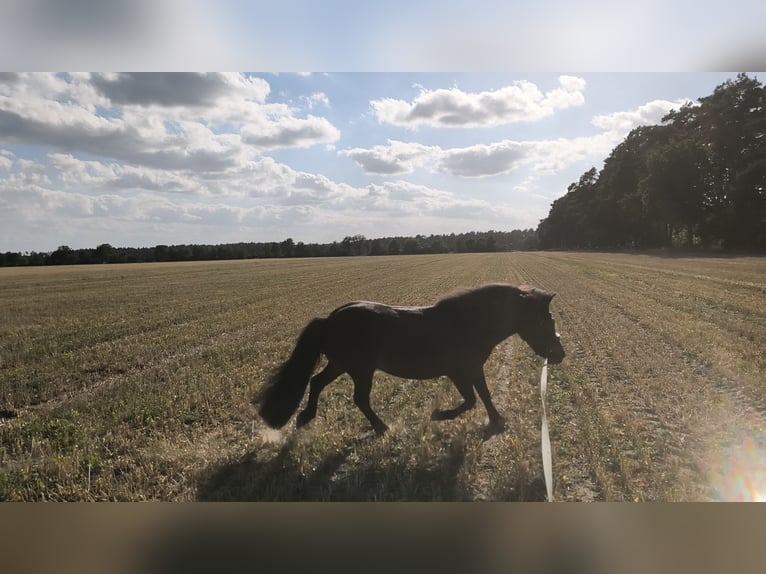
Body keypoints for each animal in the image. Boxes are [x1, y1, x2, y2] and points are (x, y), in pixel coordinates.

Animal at [255, 283, 565, 436]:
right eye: (546, 320)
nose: (559, 355)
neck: (468, 323)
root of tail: (330, 319)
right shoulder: (459, 371)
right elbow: (471, 400)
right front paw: (439, 415)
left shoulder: (473, 369)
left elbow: (485, 396)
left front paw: (497, 421)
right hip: (360, 369)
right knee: (359, 398)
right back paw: (382, 427)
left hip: (341, 365)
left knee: (317, 382)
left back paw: (305, 417)